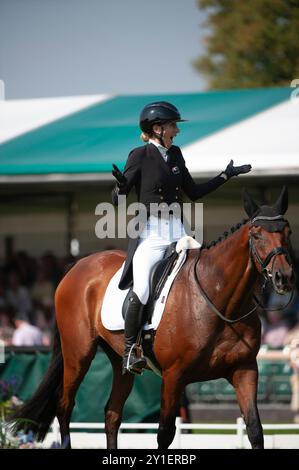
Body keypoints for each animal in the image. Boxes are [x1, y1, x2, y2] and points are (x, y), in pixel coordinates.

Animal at [11, 187, 296, 448]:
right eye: (257, 234)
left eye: (288, 232)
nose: (284, 277)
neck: (221, 302)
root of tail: (76, 266)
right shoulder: (173, 376)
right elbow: (165, 434)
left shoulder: (245, 370)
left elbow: (255, 430)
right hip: (78, 355)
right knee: (65, 406)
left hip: (119, 362)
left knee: (112, 414)